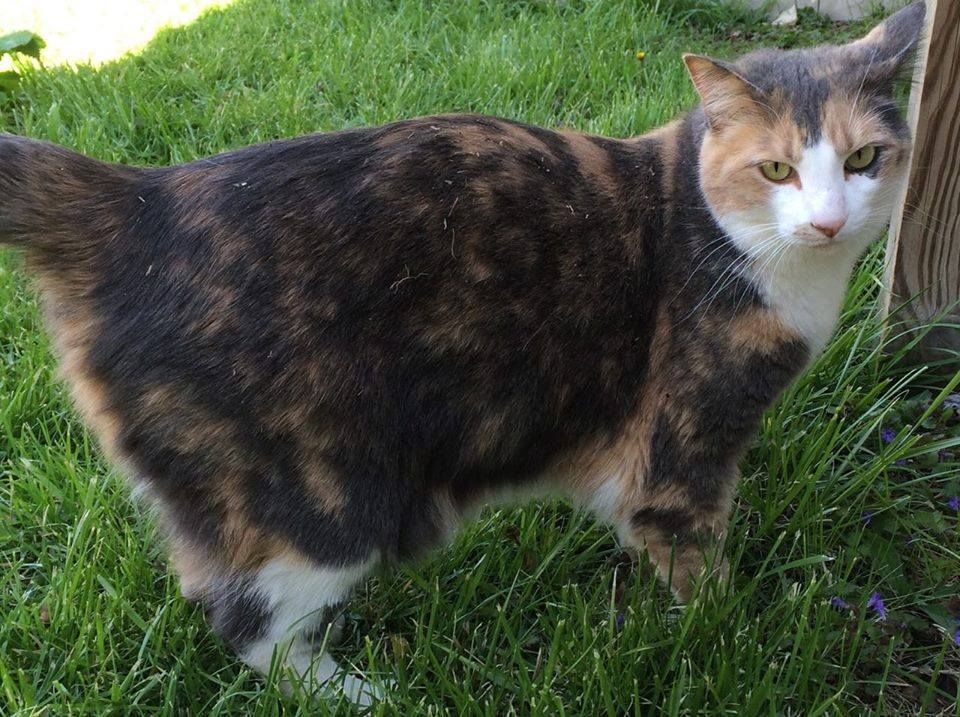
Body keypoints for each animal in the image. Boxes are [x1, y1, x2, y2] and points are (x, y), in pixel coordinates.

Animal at [1, 1, 928, 704]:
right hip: (328, 496)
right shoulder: (683, 446)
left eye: (864, 158)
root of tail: (133, 199)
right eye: (775, 169)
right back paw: (356, 693)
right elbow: (694, 561)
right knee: (247, 617)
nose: (829, 221)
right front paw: (724, 633)